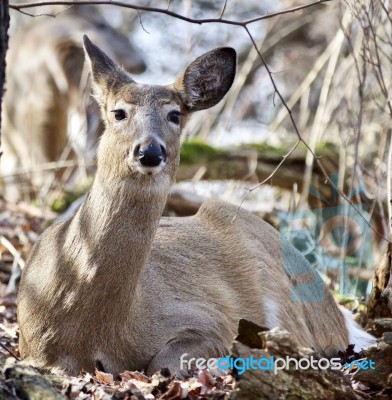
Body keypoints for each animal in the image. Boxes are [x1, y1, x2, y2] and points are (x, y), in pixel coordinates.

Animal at [16, 36, 376, 376]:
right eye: (118, 112)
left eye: (175, 115)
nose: (149, 151)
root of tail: (335, 310)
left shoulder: (210, 319)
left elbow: (165, 362)